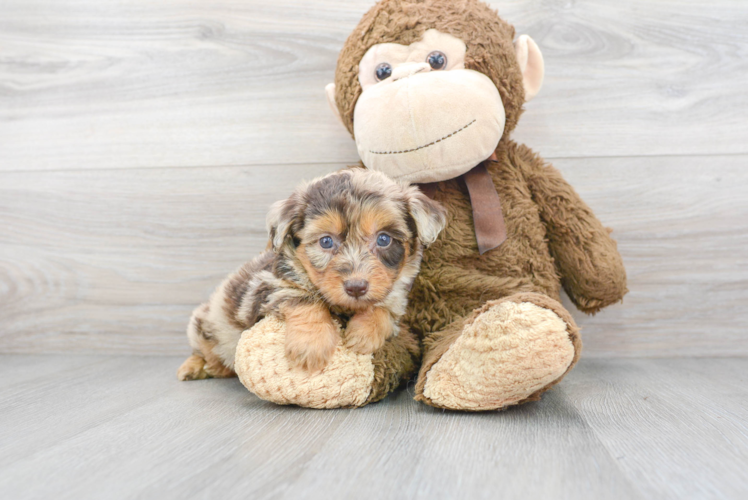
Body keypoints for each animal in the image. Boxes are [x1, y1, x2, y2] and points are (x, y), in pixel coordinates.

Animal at [177, 170, 444, 380]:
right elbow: (304, 299)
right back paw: (198, 367)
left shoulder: (395, 297)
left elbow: (383, 309)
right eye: (326, 241)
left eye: (384, 239)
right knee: (204, 351)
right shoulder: (266, 286)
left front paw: (365, 334)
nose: (356, 287)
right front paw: (311, 346)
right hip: (202, 325)